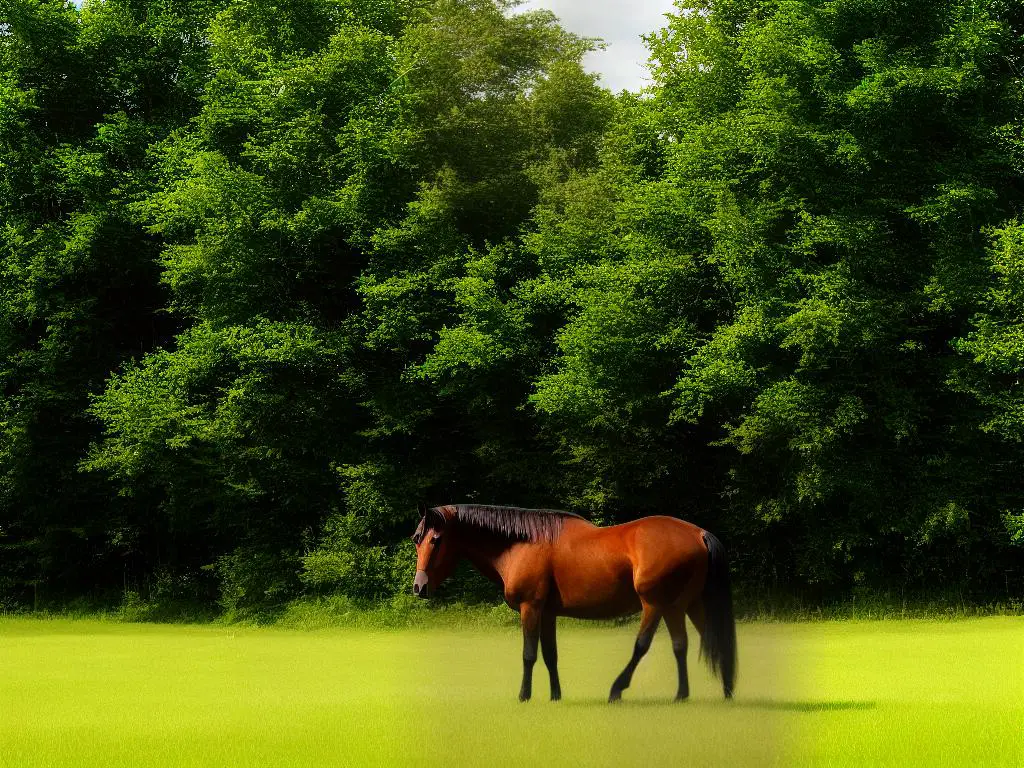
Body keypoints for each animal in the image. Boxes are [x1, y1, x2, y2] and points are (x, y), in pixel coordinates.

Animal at [407, 501, 737, 708]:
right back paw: (705, 692)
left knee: (643, 646)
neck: (521, 543)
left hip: (655, 604)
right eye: (415, 538)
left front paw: (524, 695)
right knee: (690, 643)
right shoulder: (547, 613)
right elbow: (550, 655)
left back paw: (618, 689)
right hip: (682, 606)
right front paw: (555, 696)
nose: (419, 587)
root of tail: (698, 533)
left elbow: (528, 654)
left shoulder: (530, 608)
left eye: (436, 540)